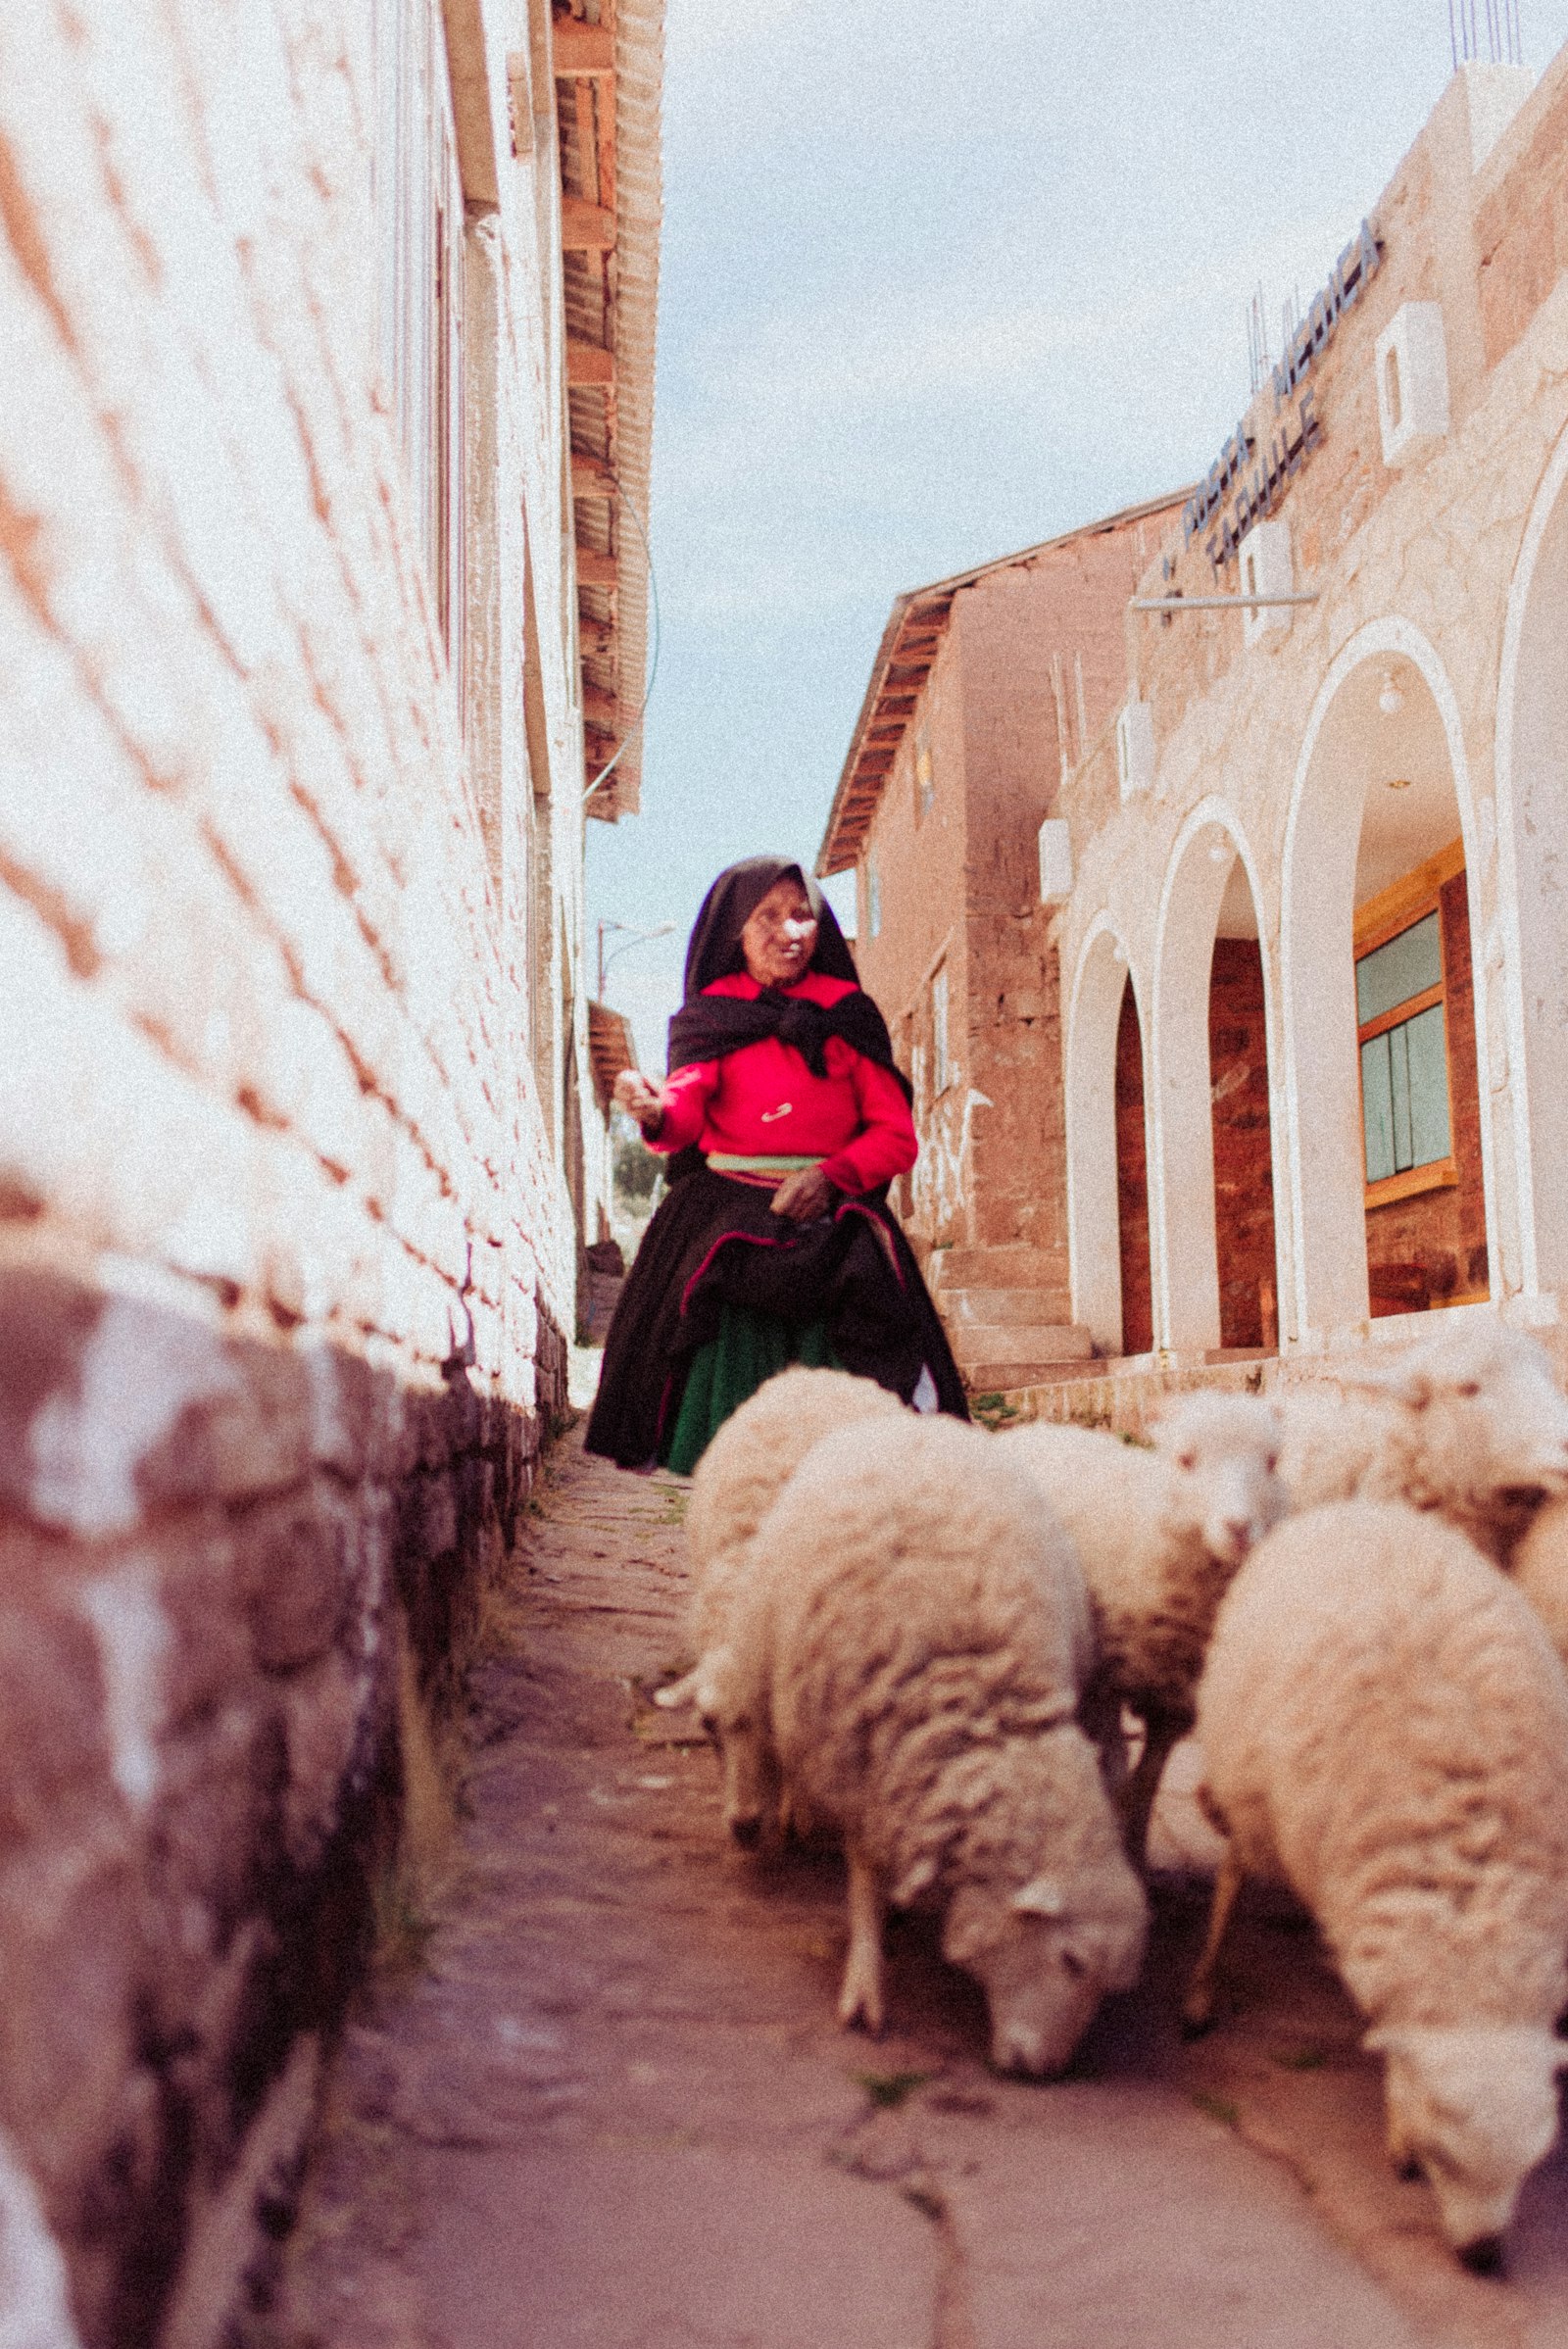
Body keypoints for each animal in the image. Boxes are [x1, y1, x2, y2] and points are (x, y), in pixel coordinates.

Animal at [717, 1399, 1145, 2067]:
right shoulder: (859, 1753)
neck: (976, 1709)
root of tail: (915, 1422)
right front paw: (866, 1982)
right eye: (1073, 1961)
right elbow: (864, 1872)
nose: (1045, 2072)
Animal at [1004, 1391, 1286, 1870]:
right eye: (1185, 1459)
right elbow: (1117, 1767)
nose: (1238, 1528)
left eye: (1271, 1461)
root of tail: (1029, 1429)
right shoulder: (1106, 1682)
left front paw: (1135, 1851)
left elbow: (1147, 1781)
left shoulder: (1174, 1700)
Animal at [1187, 1503, 1568, 2274]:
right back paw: (1203, 1989)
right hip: (1250, 1785)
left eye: (1534, 2162)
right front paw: (1396, 2130)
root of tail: (1358, 1507)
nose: (1484, 2258)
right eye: (1442, 2157)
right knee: (1235, 1869)